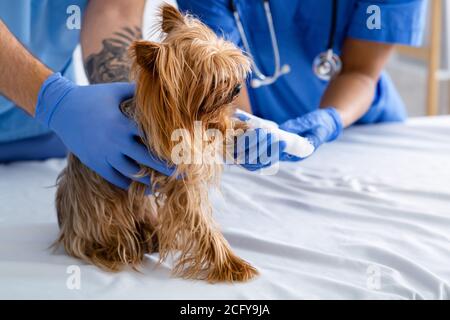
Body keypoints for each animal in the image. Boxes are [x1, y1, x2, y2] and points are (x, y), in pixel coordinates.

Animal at [53, 3, 256, 282]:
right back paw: (119, 250)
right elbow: (201, 224)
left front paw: (237, 128)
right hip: (103, 216)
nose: (236, 88)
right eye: (213, 78)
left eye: (231, 64)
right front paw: (230, 264)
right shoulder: (181, 184)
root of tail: (66, 225)